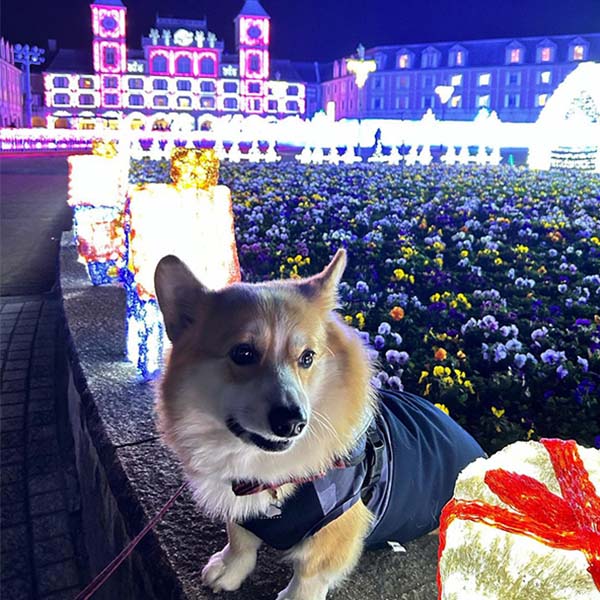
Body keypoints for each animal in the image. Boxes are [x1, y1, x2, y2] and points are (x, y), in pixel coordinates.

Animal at [154, 250, 482, 600]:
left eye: (308, 357)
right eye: (242, 353)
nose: (292, 423)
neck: (262, 468)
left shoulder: (336, 531)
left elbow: (308, 576)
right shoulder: (243, 511)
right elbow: (240, 539)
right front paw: (228, 569)